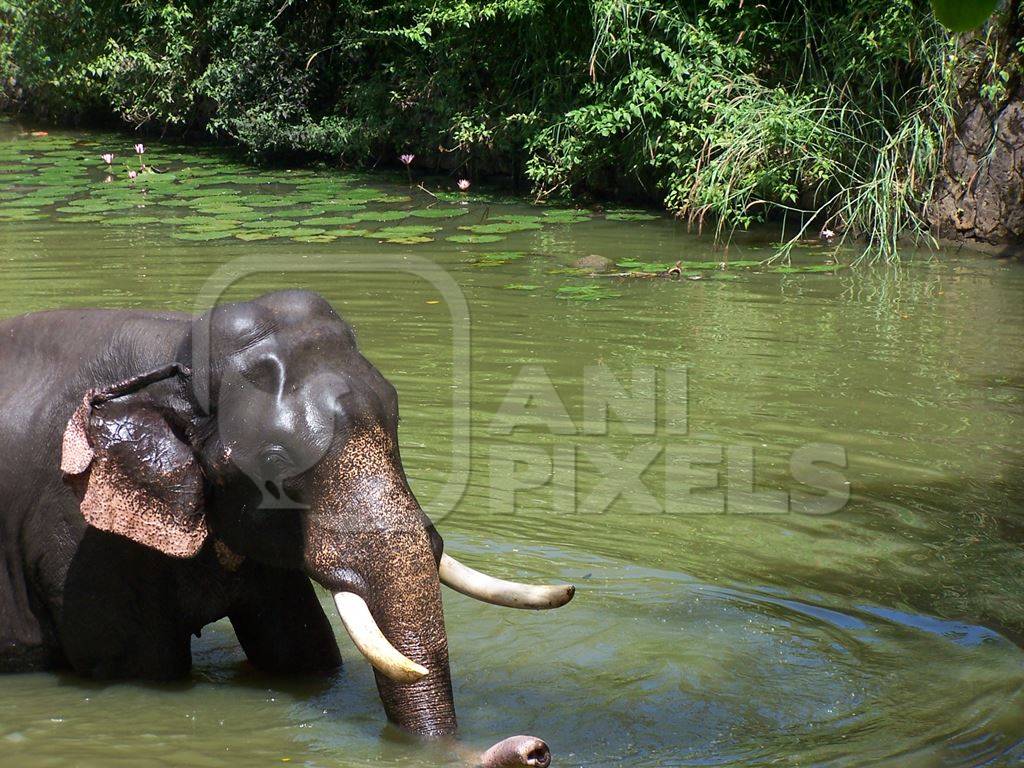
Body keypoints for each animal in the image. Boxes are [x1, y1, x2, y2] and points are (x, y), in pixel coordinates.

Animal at [0, 290, 577, 765]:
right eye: (275, 461)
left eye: (396, 419)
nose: (534, 749)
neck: (175, 354)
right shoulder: (77, 537)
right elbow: (139, 668)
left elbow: (302, 651)